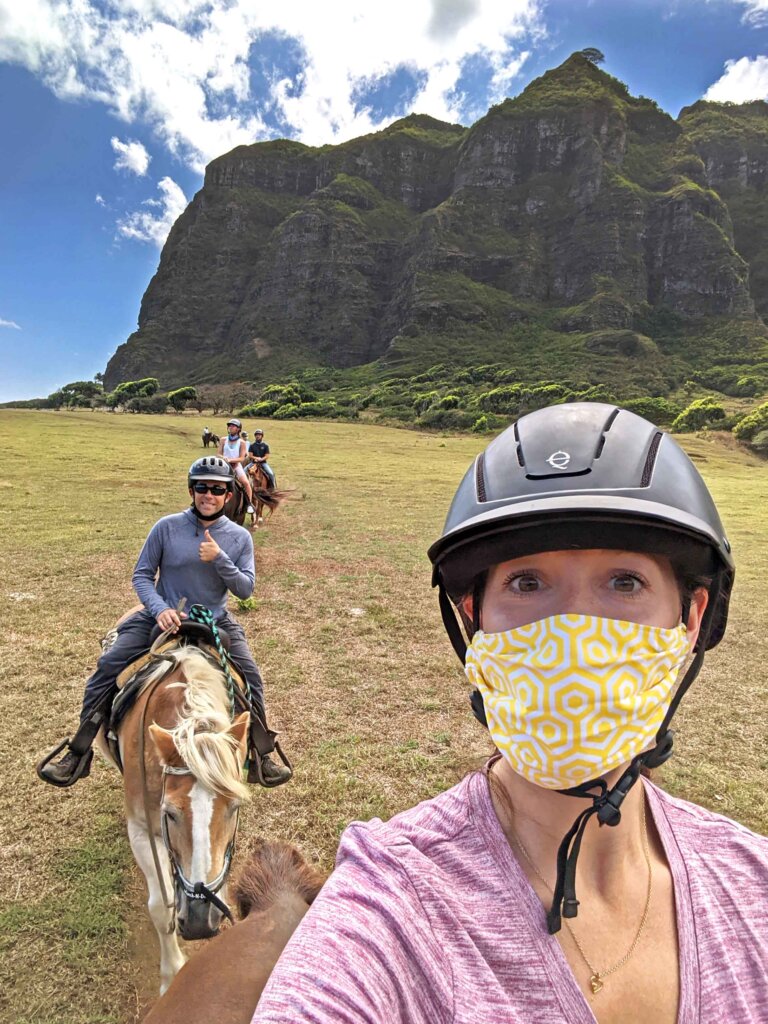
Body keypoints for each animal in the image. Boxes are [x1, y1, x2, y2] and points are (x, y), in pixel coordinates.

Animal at [96, 647, 250, 991]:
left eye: (234, 808)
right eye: (170, 814)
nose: (200, 921)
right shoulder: (141, 829)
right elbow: (159, 906)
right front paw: (171, 975)